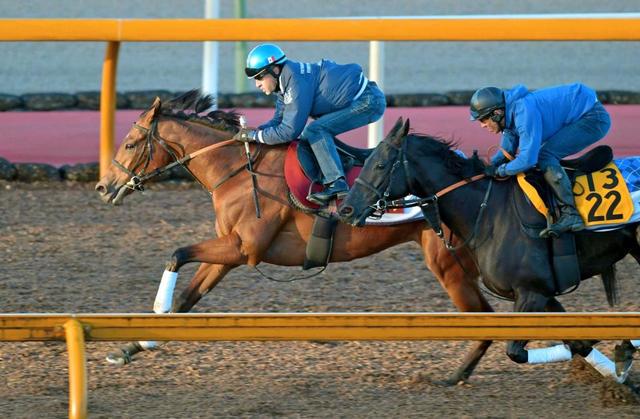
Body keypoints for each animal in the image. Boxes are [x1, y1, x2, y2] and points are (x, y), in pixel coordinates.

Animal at [96, 91, 496, 384]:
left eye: (130, 144)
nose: (103, 187)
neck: (238, 169)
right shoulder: (229, 252)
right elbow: (186, 300)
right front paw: (131, 347)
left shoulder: (243, 247)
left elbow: (176, 254)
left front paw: (154, 314)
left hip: (448, 265)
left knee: (486, 316)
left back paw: (458, 374)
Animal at [340, 115, 640, 380]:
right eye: (366, 161)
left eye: (380, 165)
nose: (346, 209)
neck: (489, 212)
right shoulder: (543, 293)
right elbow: (577, 341)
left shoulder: (531, 292)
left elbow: (516, 352)